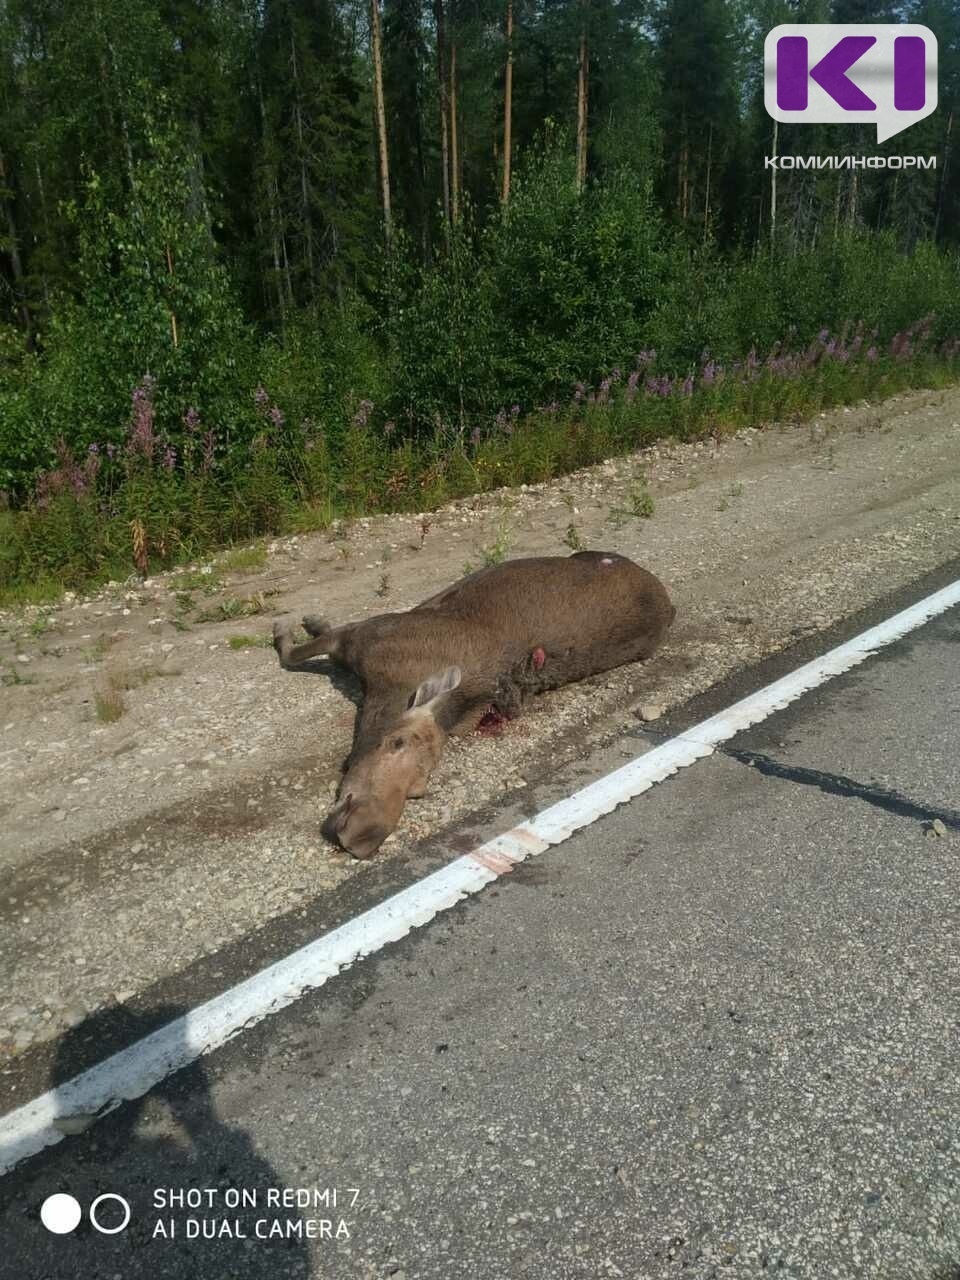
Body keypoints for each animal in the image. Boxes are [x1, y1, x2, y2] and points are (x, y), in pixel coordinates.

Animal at [271, 550, 675, 860]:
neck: (386, 689)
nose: (363, 836)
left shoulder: (363, 635)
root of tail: (669, 604)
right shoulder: (363, 636)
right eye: (394, 742)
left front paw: (289, 626)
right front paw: (302, 621)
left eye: (419, 790)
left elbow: (292, 652)